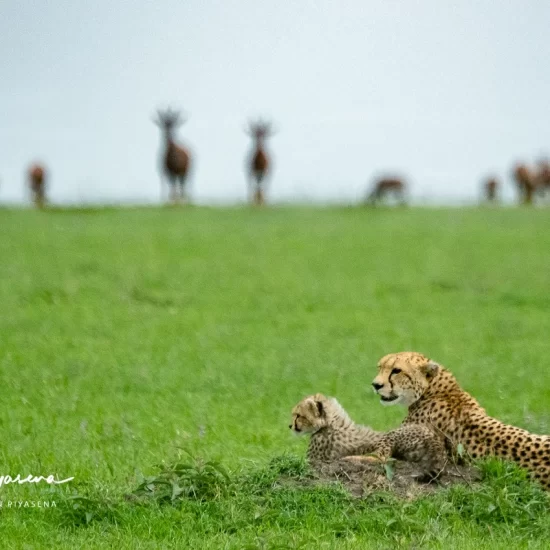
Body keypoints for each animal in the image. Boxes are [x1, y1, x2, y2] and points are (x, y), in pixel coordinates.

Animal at [292, 392, 446, 478]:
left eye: (298, 416)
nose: (290, 426)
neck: (331, 423)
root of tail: (433, 435)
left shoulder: (314, 457)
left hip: (392, 435)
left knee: (381, 458)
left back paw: (351, 458)